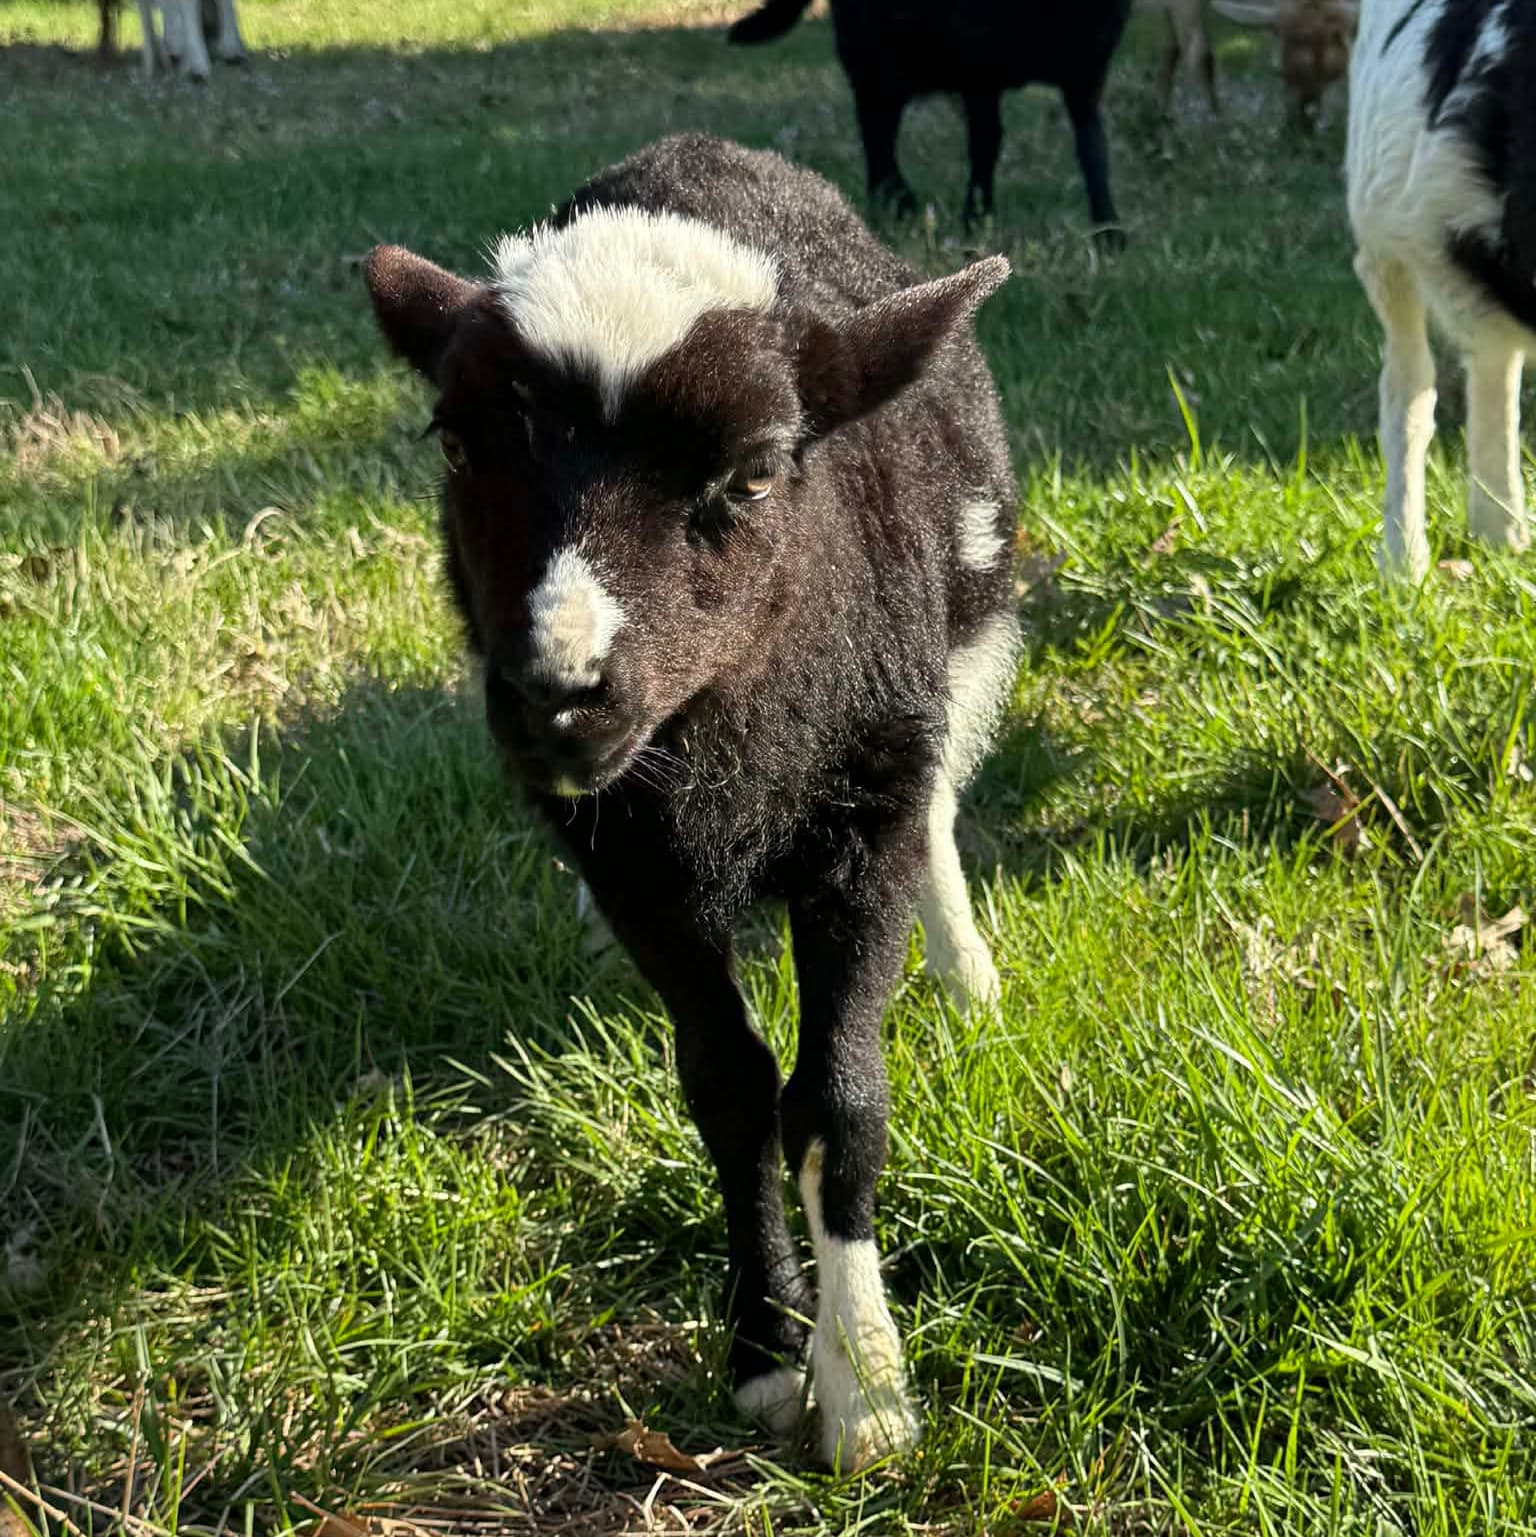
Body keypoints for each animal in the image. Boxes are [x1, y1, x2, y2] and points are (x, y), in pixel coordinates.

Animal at [363, 132, 1017, 1472]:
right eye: (456, 445)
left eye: (758, 473)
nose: (560, 698)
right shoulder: (635, 863)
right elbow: (729, 1089)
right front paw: (766, 1351)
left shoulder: (859, 813)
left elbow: (838, 1102)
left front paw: (866, 1389)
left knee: (938, 810)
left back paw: (967, 974)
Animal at [727, 0, 1134, 246]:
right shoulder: (978, 70)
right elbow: (986, 144)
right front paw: (976, 220)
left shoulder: (1087, 71)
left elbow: (1093, 149)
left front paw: (1108, 228)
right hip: (870, 55)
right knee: (877, 132)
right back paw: (893, 204)